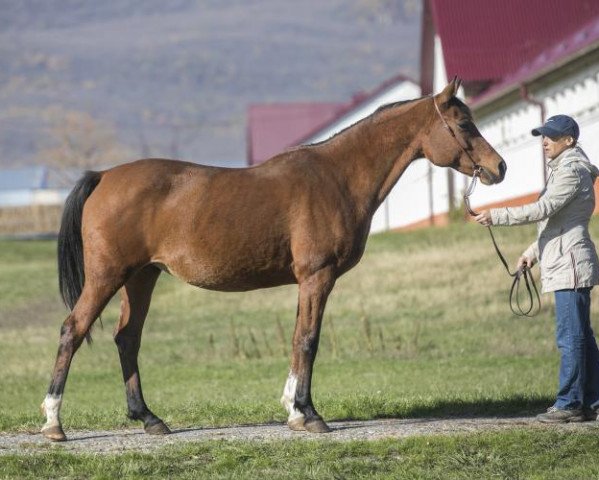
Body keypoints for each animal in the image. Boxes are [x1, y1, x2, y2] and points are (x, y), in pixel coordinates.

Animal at [39, 79, 506, 442]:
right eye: (464, 123)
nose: (498, 167)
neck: (337, 176)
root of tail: (103, 176)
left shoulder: (308, 281)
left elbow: (299, 336)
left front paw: (294, 411)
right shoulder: (318, 276)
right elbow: (308, 340)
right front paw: (309, 414)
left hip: (141, 277)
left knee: (127, 339)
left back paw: (149, 419)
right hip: (108, 275)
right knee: (72, 330)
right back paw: (53, 423)